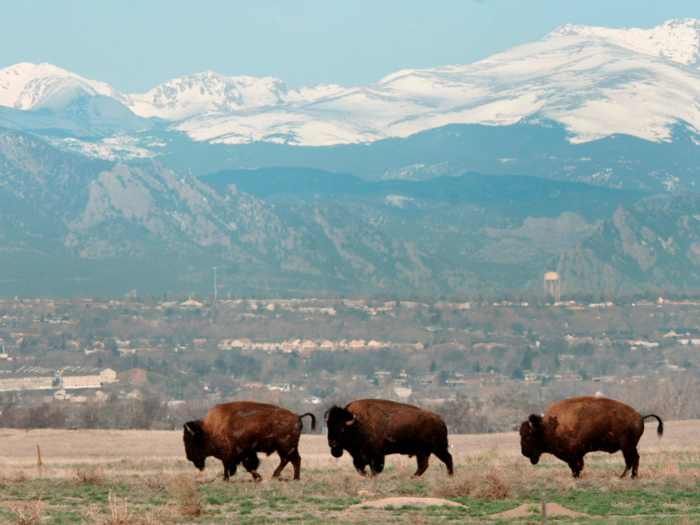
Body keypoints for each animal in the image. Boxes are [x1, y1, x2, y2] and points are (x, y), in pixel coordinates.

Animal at [183, 400, 314, 482]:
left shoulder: (229, 454)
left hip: (287, 446)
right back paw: (274, 475)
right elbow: (248, 465)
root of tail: (297, 416)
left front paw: (225, 479)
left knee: (296, 460)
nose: (189, 457)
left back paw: (296, 478)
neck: (209, 429)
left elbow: (228, 466)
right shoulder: (245, 452)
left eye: (189, 442)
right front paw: (258, 478)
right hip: (280, 448)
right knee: (285, 460)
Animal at [324, 400, 454, 476]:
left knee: (448, 458)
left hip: (438, 448)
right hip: (422, 451)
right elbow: (360, 468)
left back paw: (450, 476)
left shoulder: (376, 455)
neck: (357, 425)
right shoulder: (358, 456)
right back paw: (412, 478)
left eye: (342, 428)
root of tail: (440, 420)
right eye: (329, 426)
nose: (332, 443)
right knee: (423, 465)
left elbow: (375, 469)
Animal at [520, 396, 660, 476]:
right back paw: (623, 477)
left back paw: (632, 477)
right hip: (626, 447)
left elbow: (575, 467)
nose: (524, 452)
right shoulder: (577, 455)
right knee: (629, 461)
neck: (549, 426)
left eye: (527, 437)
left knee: (634, 459)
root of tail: (640, 417)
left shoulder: (573, 454)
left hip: (627, 445)